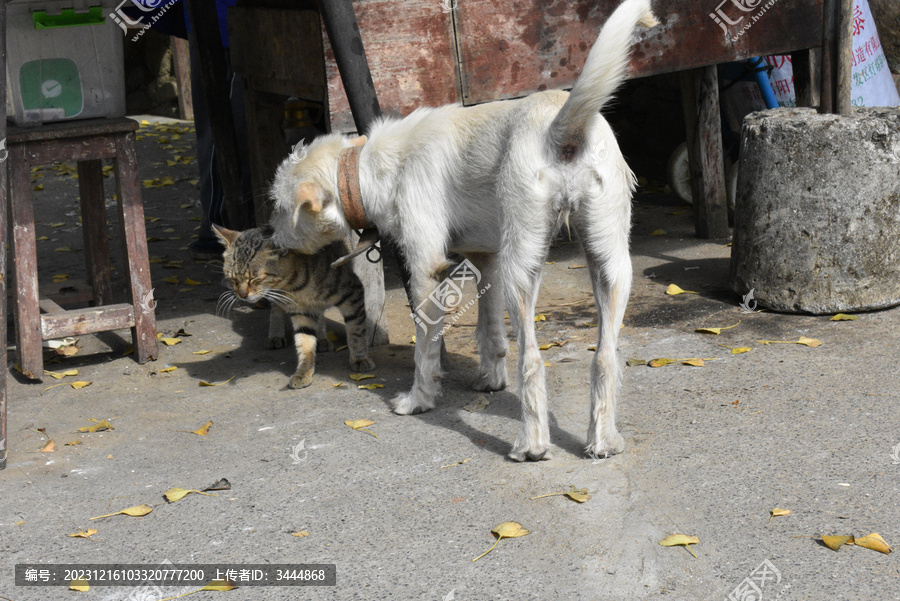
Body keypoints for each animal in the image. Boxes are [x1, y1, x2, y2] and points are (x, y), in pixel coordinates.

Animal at [215, 223, 376, 386]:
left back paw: (321, 337)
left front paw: (359, 358)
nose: (242, 295)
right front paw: (303, 370)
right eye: (233, 279)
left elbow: (356, 331)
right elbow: (304, 342)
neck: (296, 285)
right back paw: (276, 335)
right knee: (276, 309)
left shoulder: (352, 292)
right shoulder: (301, 311)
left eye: (255, 279)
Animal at [270, 0, 656, 460]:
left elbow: (425, 347)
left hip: (523, 271)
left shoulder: (425, 270)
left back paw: (532, 443)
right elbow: (489, 330)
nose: (271, 242)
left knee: (532, 359)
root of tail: (559, 124)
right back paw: (603, 439)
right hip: (609, 265)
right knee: (604, 357)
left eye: (278, 208)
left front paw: (419, 398)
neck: (369, 168)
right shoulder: (486, 260)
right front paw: (490, 380)